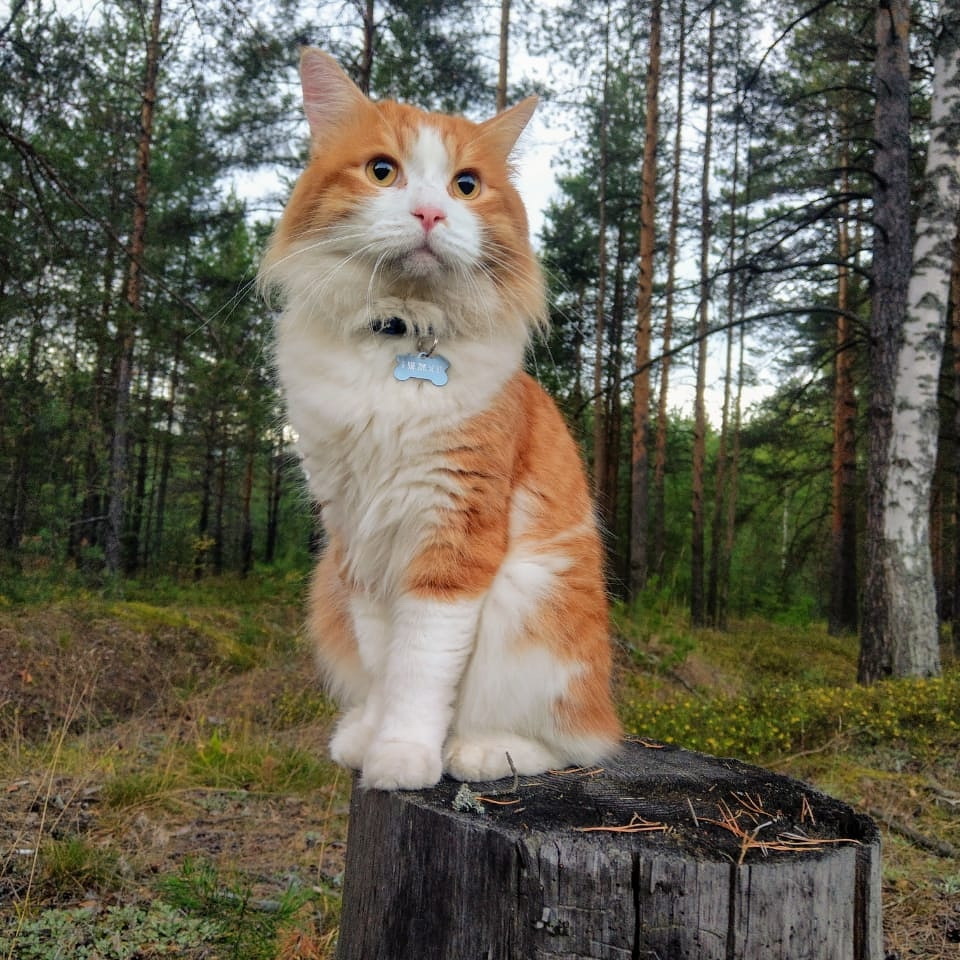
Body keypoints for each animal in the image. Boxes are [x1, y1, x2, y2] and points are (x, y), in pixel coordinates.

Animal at [260, 48, 624, 792]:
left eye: (465, 186)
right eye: (382, 171)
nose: (430, 212)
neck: (401, 336)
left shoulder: (452, 531)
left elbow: (421, 668)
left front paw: (402, 755)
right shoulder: (357, 540)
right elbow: (384, 662)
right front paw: (373, 738)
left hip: (534, 605)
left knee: (575, 744)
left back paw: (481, 752)